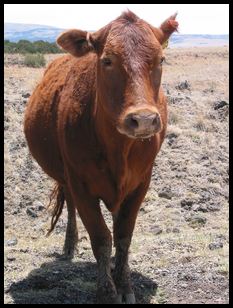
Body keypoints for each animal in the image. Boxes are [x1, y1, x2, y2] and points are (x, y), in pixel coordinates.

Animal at [24, 10, 178, 304]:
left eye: (161, 60)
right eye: (107, 60)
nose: (143, 119)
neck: (118, 149)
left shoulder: (140, 183)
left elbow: (123, 236)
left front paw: (125, 285)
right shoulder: (80, 184)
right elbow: (101, 239)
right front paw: (107, 293)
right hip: (66, 178)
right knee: (70, 206)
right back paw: (69, 245)